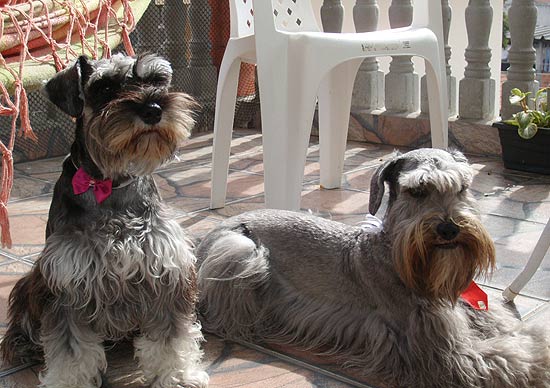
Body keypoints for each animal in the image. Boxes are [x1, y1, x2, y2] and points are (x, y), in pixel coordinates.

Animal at [0, 53, 210, 388]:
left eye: (157, 80)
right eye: (105, 87)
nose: (153, 110)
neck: (112, 185)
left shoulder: (167, 274)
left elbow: (172, 338)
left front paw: (177, 376)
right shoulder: (67, 284)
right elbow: (71, 350)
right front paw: (68, 381)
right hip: (29, 283)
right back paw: (22, 344)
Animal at [198, 149, 550, 388]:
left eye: (462, 187)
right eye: (417, 190)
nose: (450, 229)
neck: (399, 259)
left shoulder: (469, 311)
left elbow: (509, 329)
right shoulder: (448, 353)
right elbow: (510, 357)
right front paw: (540, 359)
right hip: (242, 250)